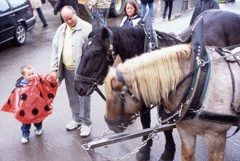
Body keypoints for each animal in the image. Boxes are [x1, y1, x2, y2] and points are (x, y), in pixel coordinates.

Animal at [75, 9, 240, 161]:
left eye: (97, 52)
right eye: (82, 48)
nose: (79, 87)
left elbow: (165, 126)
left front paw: (168, 152)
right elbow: (146, 122)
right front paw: (145, 150)